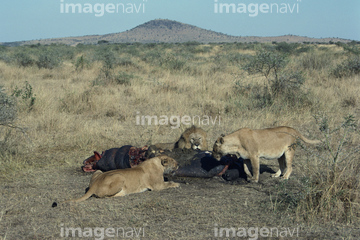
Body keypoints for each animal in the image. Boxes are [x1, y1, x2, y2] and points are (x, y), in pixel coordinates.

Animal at [51, 156, 179, 206]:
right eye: (174, 162)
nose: (178, 165)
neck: (158, 162)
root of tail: (94, 185)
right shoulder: (157, 186)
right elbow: (169, 183)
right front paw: (176, 184)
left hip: (99, 171)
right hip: (120, 177)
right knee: (104, 196)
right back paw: (122, 194)